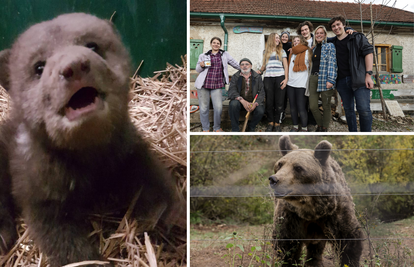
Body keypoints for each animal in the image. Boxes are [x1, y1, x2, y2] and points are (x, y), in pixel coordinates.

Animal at [0, 13, 180, 267]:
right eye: (39, 67)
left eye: (92, 46)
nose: (73, 66)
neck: (89, 161)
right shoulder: (40, 193)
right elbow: (64, 243)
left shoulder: (129, 149)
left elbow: (151, 176)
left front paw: (168, 213)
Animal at [268, 136, 362, 267]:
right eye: (280, 164)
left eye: (298, 167)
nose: (274, 179)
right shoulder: (291, 215)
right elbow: (286, 246)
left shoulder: (335, 212)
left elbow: (349, 241)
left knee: (316, 247)